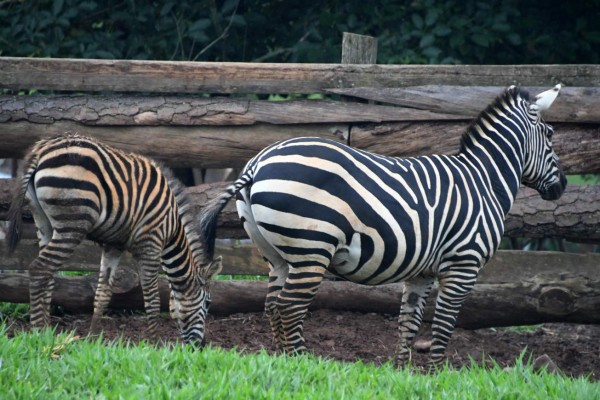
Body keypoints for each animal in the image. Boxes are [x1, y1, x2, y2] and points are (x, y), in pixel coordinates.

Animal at [6, 134, 223, 344]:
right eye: (208, 303)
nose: (200, 345)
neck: (173, 227)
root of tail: (40, 149)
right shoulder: (151, 243)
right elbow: (152, 296)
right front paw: (154, 343)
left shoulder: (114, 245)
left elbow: (103, 293)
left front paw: (92, 340)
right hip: (73, 223)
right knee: (39, 269)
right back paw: (38, 331)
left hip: (43, 221)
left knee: (48, 274)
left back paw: (47, 330)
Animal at [202, 84, 568, 366]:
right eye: (550, 135)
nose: (562, 187)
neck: (484, 180)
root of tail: (258, 161)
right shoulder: (464, 264)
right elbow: (444, 324)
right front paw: (436, 373)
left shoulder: (422, 272)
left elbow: (409, 321)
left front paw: (403, 371)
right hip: (311, 250)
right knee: (289, 307)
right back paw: (300, 361)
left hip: (275, 254)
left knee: (272, 305)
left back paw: (281, 361)